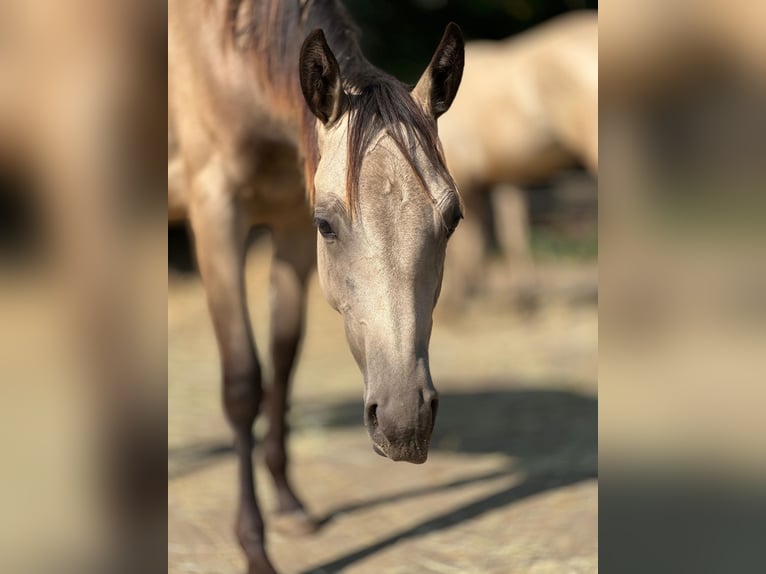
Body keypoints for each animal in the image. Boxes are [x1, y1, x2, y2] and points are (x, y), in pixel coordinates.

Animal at [168, 1, 464, 571]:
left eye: (453, 219)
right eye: (328, 224)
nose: (405, 422)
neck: (223, 53)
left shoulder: (289, 222)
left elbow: (283, 363)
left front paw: (288, 505)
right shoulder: (215, 213)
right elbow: (244, 382)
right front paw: (254, 547)